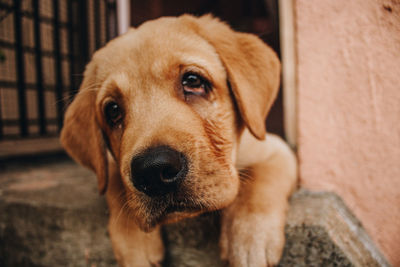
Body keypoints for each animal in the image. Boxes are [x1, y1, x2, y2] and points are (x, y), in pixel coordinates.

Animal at [60, 14, 296, 267]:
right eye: (113, 111)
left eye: (192, 81)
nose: (154, 171)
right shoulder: (114, 166)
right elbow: (116, 181)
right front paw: (135, 246)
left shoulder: (275, 149)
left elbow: (259, 181)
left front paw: (249, 240)